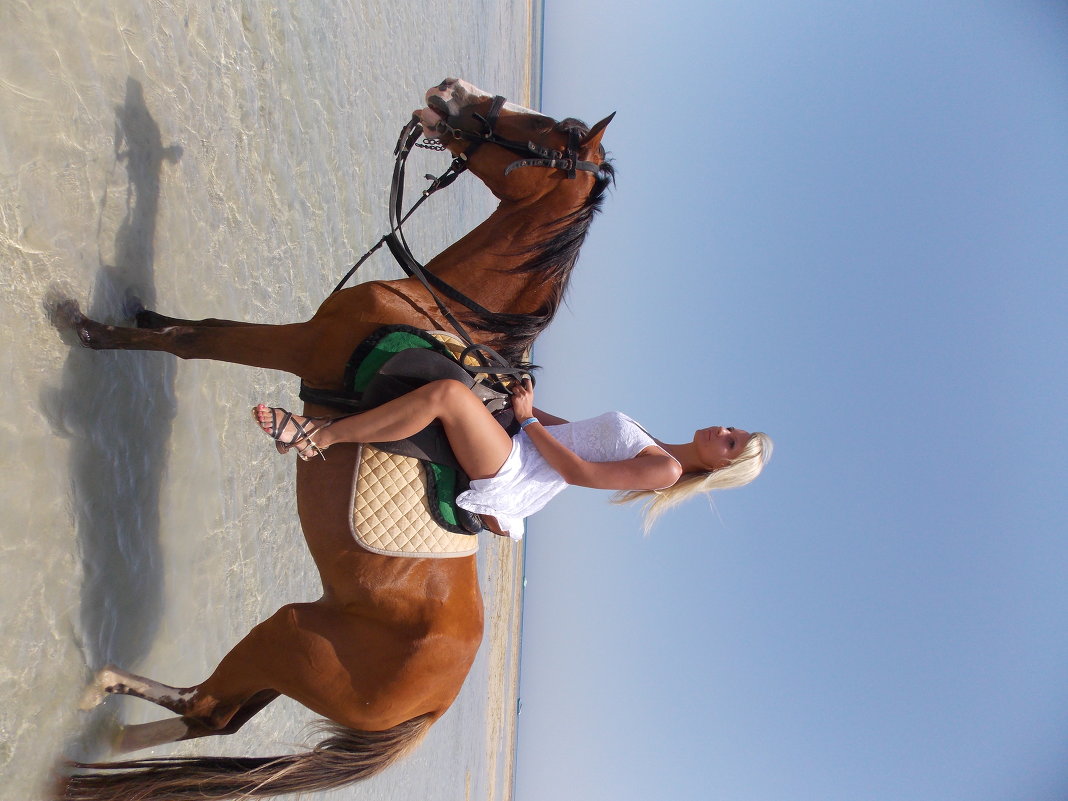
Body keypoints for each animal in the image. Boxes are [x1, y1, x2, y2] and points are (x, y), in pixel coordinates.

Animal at [56, 78, 614, 800]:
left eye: (554, 134)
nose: (451, 90)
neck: (431, 303)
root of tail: (433, 704)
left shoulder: (302, 344)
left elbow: (194, 338)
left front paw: (88, 328)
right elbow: (186, 329)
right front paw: (136, 311)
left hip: (290, 637)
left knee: (205, 707)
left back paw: (100, 693)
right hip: (295, 646)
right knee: (218, 716)